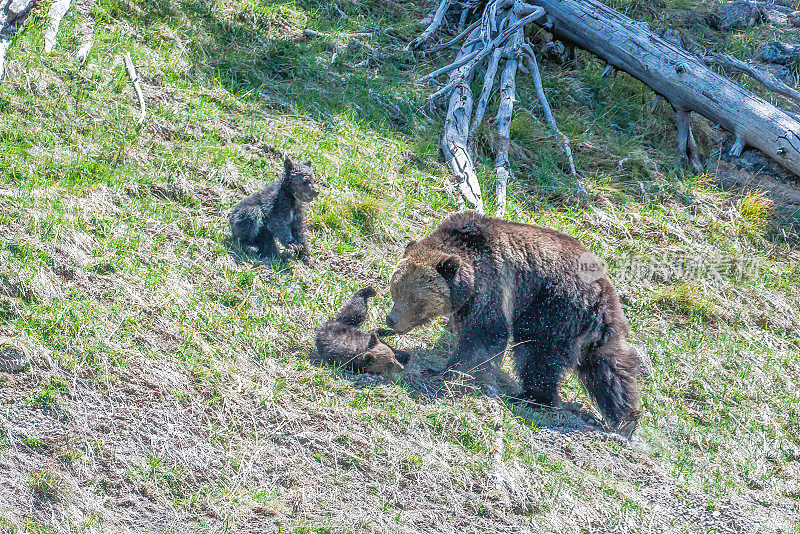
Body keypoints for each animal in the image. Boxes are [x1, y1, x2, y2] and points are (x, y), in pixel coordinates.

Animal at [384, 214, 640, 436]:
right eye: (395, 289)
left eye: (415, 299)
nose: (391, 318)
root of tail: (603, 293)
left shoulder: (492, 283)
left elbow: (484, 334)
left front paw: (446, 372)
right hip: (594, 329)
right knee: (608, 367)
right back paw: (625, 418)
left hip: (553, 307)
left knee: (539, 354)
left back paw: (531, 397)